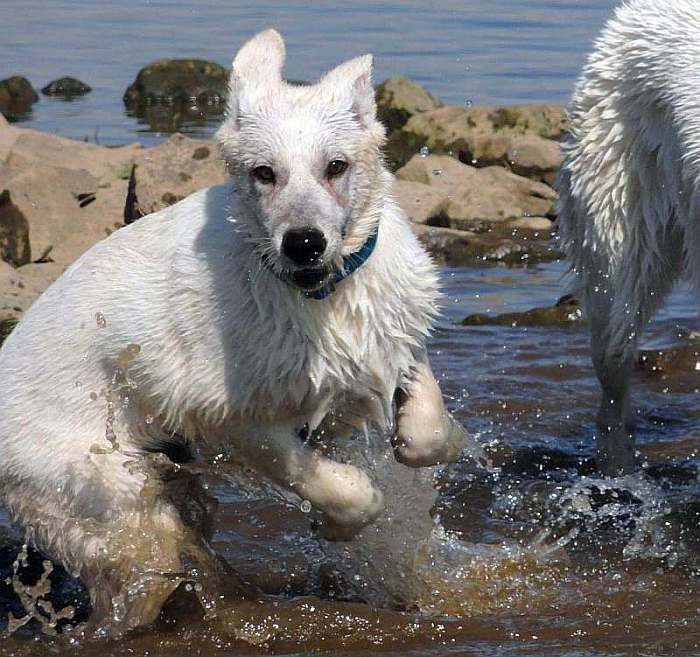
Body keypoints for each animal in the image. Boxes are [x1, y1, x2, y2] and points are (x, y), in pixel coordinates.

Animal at [0, 29, 470, 632]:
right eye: (263, 173)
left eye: (336, 166)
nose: (304, 243)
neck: (321, 296)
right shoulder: (231, 414)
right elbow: (333, 484)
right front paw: (338, 521)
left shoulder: (391, 334)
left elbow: (423, 431)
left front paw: (446, 437)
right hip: (99, 492)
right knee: (148, 567)